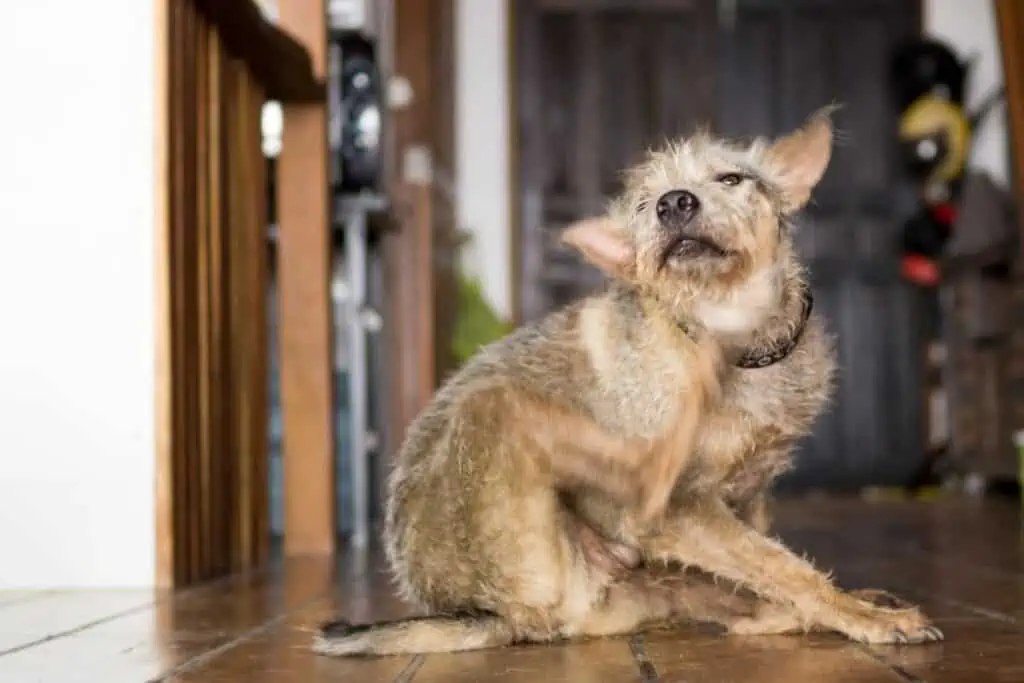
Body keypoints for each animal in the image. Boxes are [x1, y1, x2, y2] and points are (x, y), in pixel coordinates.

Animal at [313, 108, 942, 655]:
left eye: (731, 177)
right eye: (644, 203)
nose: (673, 203)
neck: (734, 337)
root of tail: (487, 614)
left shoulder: (750, 495)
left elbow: (770, 562)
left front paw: (844, 606)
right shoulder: (684, 509)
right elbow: (778, 565)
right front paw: (861, 617)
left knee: (738, 604)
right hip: (504, 432)